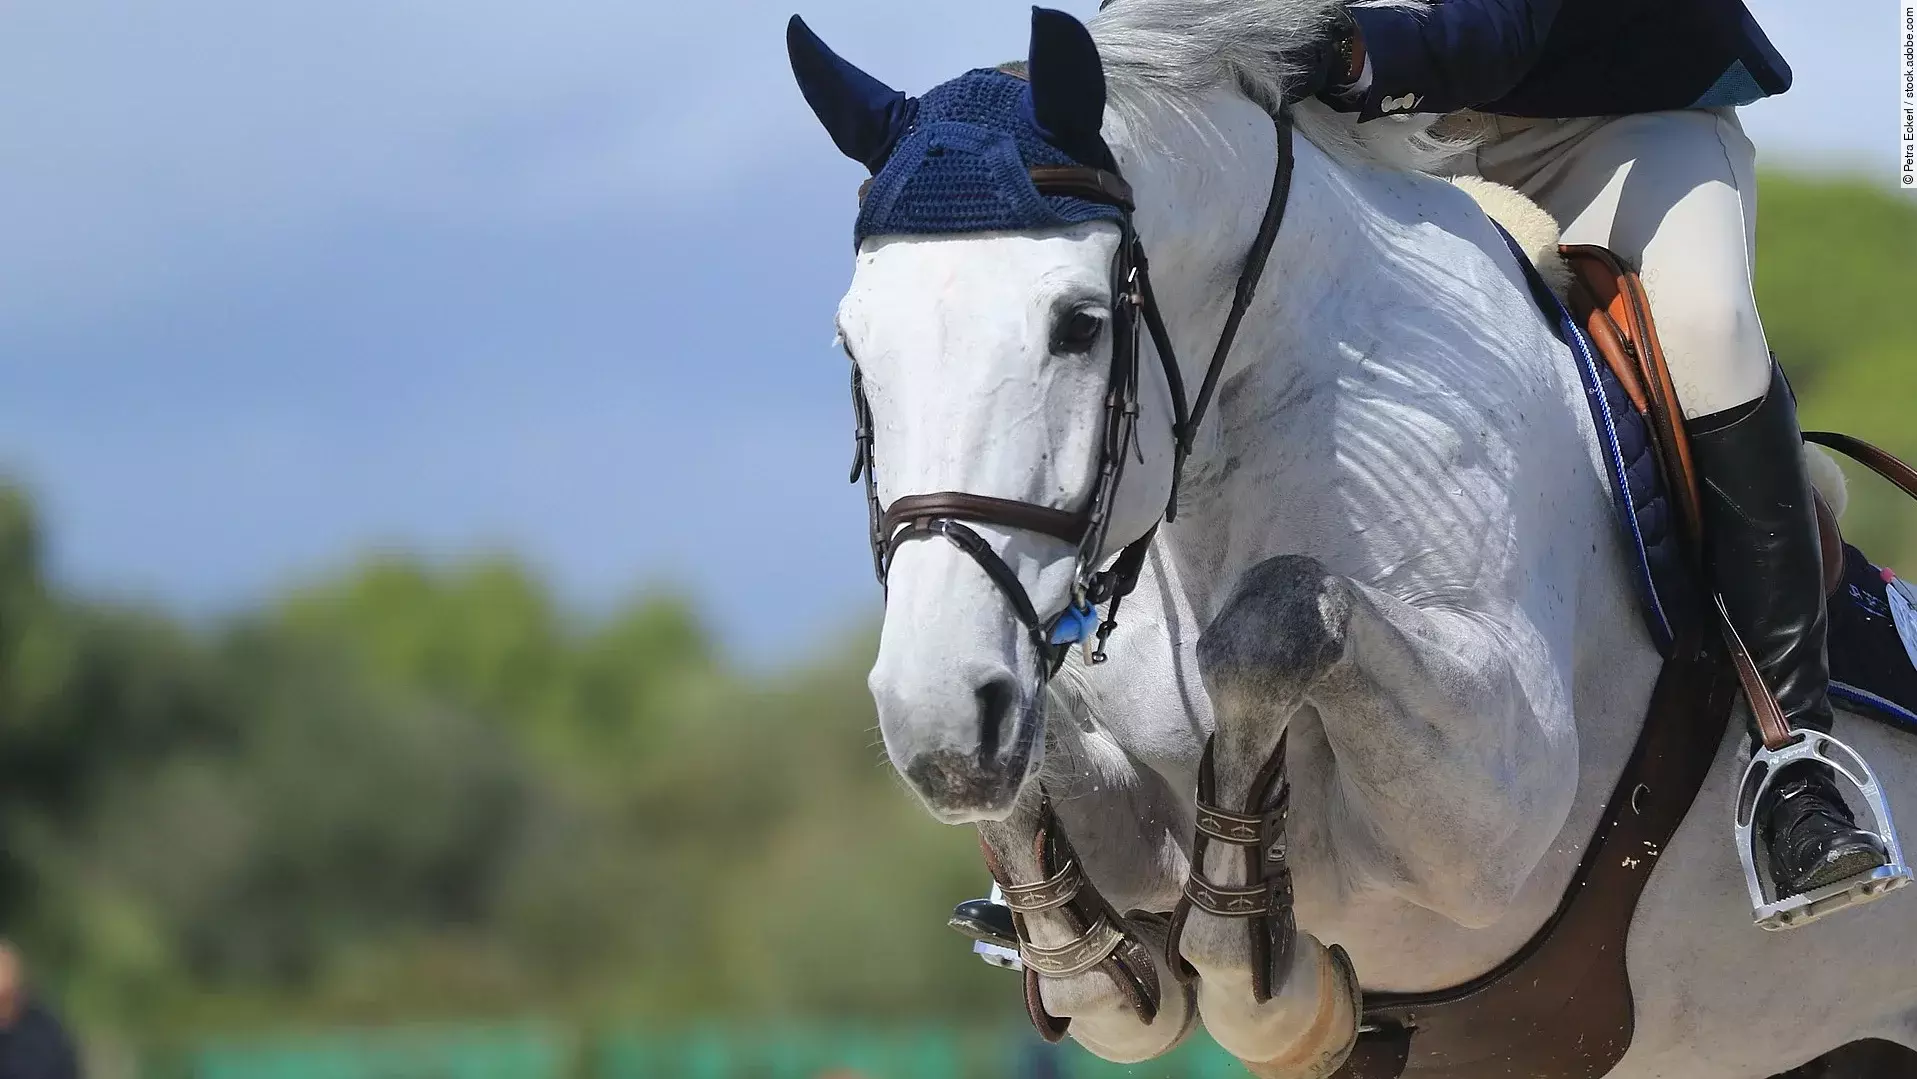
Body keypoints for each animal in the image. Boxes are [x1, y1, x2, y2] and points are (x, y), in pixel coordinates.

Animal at [788, 0, 1917, 1074]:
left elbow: (1282, 614)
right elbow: (1080, 871)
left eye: (1077, 325)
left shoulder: (1494, 806)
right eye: (853, 344)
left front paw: (1269, 979)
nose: (940, 723)